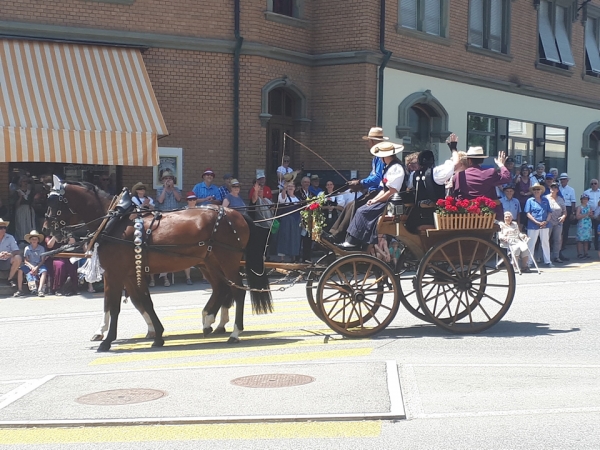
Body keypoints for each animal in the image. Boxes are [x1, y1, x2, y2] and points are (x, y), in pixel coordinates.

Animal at [43, 178, 274, 354]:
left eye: (54, 203)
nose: (47, 230)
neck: (114, 222)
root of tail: (236, 213)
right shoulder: (125, 273)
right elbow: (138, 302)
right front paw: (156, 334)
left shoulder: (116, 273)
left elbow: (117, 306)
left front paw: (107, 340)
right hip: (209, 262)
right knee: (222, 288)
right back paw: (209, 320)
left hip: (227, 260)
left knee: (238, 291)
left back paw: (234, 331)